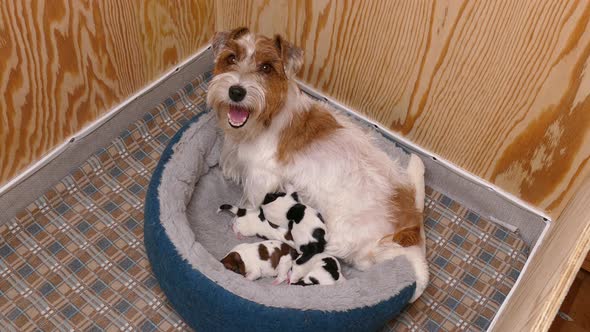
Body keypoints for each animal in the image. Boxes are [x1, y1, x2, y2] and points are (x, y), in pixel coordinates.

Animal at [209, 26, 430, 300]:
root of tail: (413, 220)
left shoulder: (261, 180)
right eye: (231, 58)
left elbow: (250, 204)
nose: (236, 91)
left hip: (348, 242)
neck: (266, 117)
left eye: (266, 68)